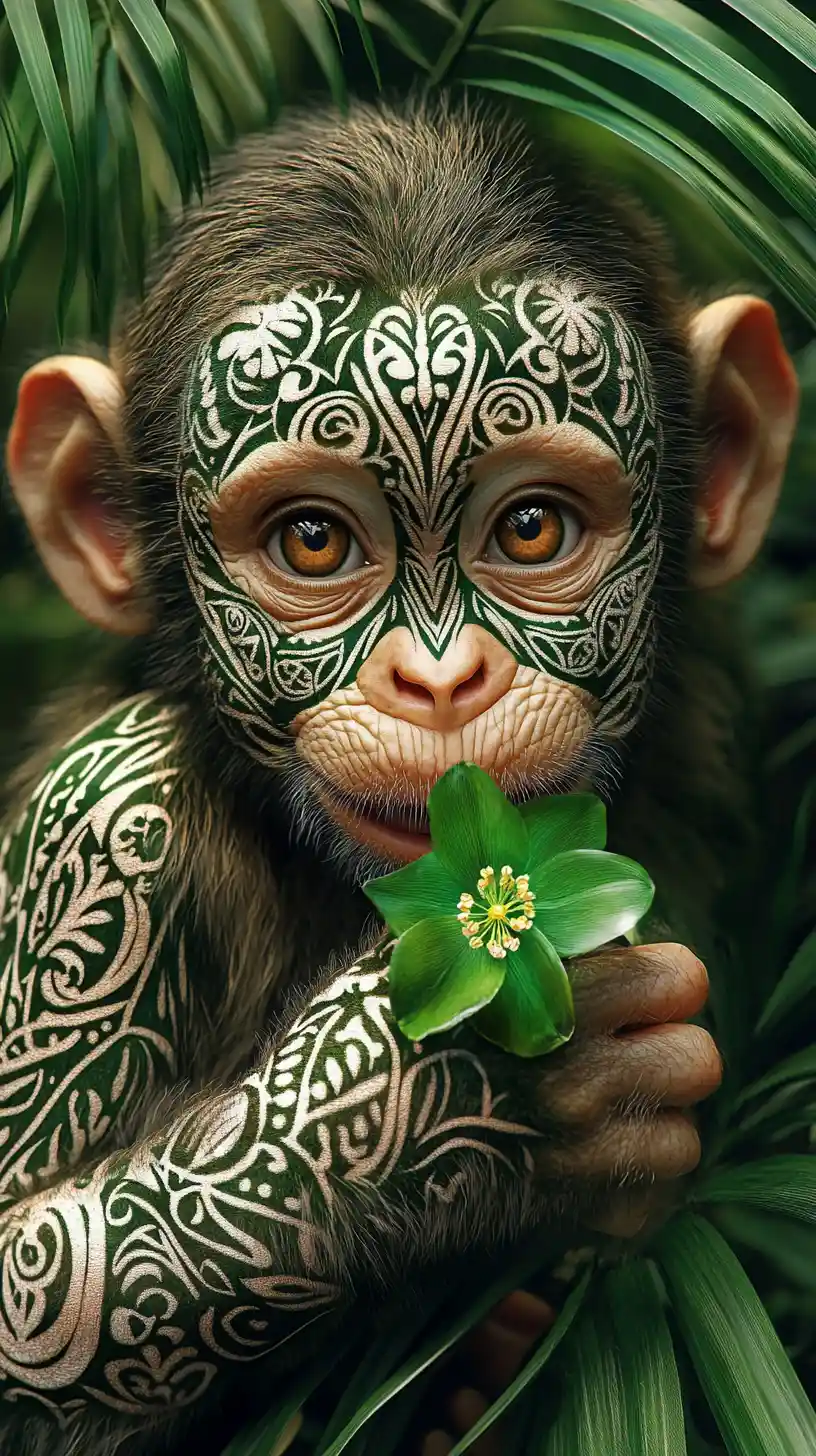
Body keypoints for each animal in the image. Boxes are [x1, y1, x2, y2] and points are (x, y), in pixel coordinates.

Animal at [0, 93, 798, 1456]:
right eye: (314, 541)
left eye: (531, 526)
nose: (439, 681)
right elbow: (29, 1273)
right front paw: (440, 1112)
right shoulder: (103, 827)